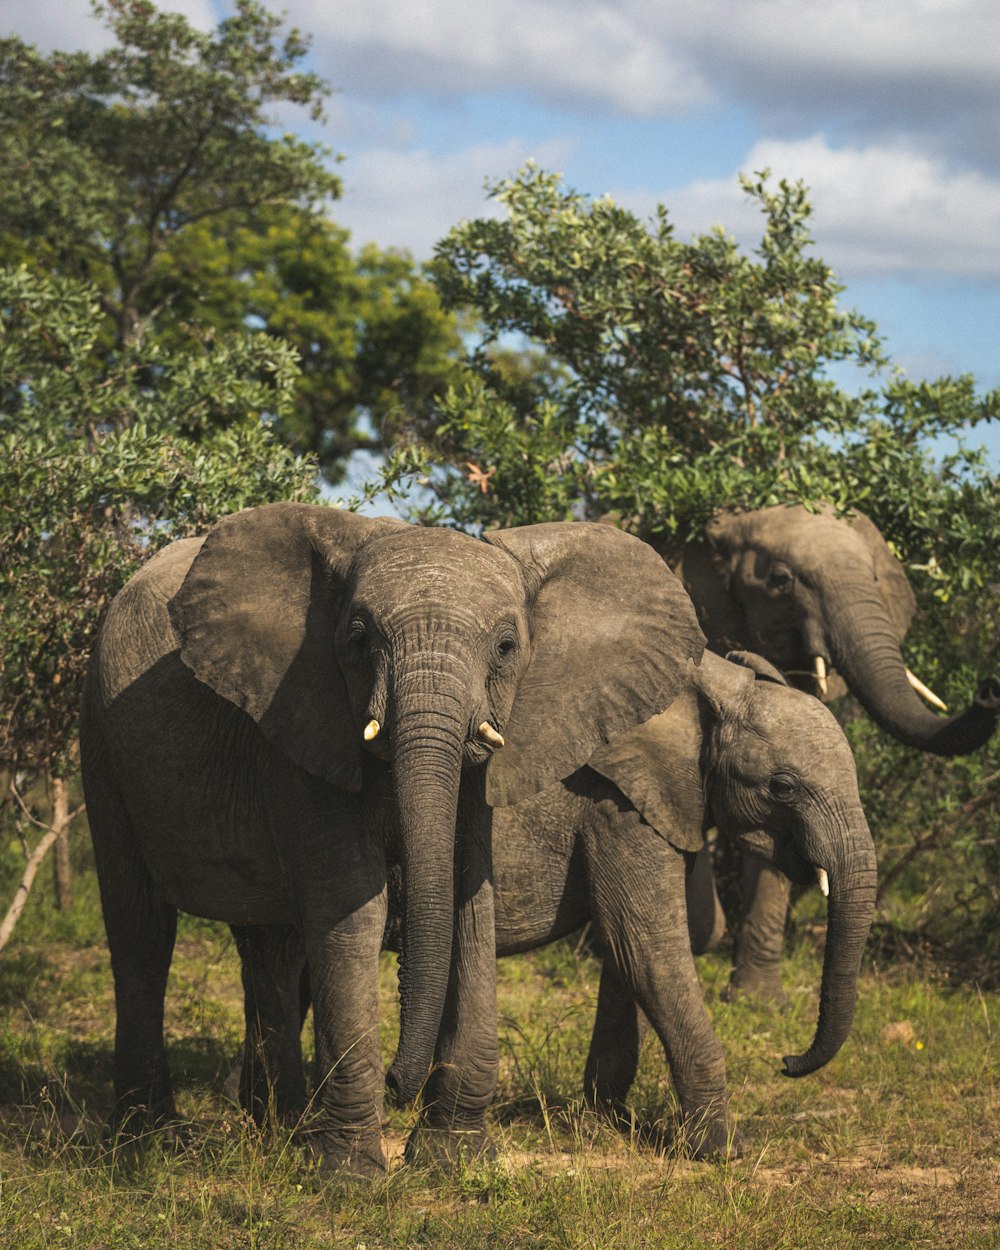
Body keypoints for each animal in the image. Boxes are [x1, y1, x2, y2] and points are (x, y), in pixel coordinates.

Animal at [80, 495, 705, 1170]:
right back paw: (153, 1139)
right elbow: (352, 904)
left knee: (268, 948)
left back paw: (281, 1127)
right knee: (142, 929)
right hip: (100, 734)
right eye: (357, 638)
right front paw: (351, 1174)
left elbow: (469, 901)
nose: (398, 1085)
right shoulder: (301, 719)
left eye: (507, 646)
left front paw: (450, 1158)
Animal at [232, 655, 875, 1160]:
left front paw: (605, 1121)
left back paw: (259, 1118)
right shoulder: (618, 804)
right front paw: (723, 1152)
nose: (786, 1061)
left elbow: (630, 953)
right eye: (783, 787)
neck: (706, 685)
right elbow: (646, 944)